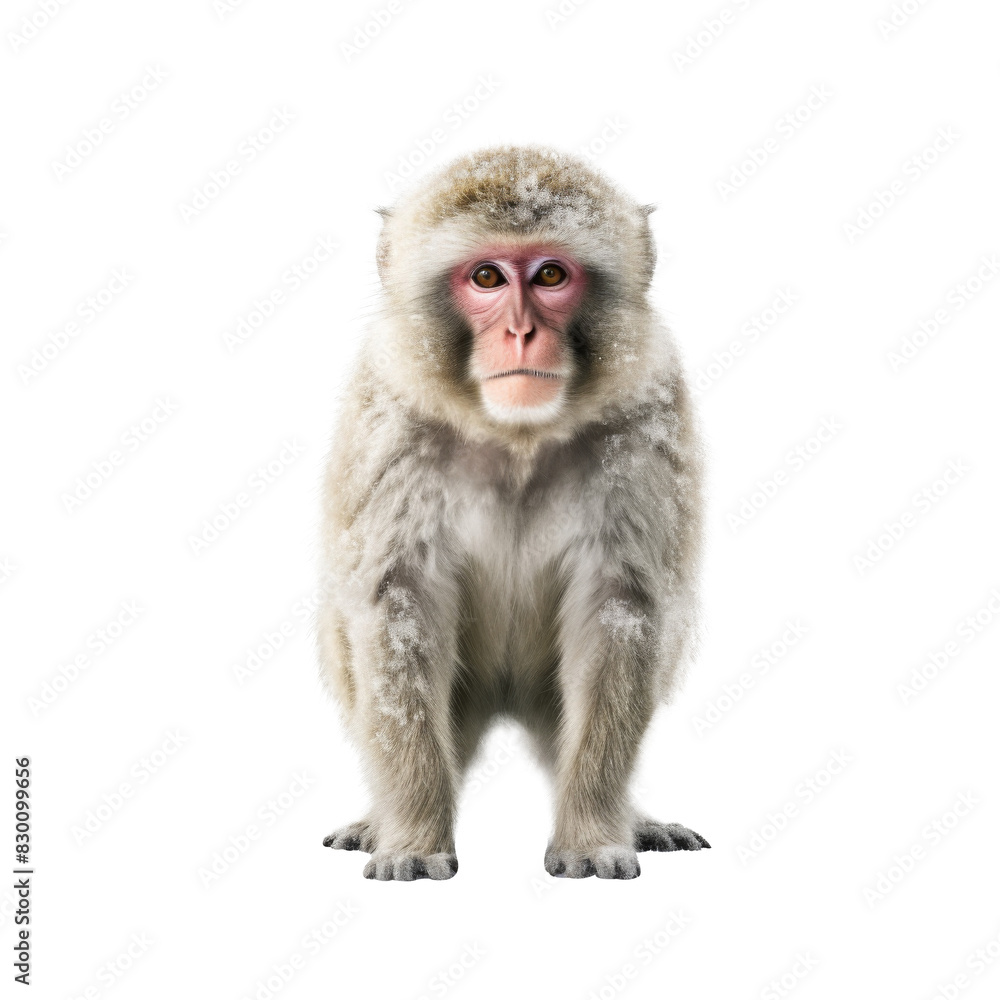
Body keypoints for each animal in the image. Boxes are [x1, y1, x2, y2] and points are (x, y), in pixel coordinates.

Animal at [317, 144, 709, 880]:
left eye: (551, 274)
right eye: (487, 277)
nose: (520, 332)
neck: (514, 438)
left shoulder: (644, 427)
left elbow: (620, 607)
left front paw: (593, 835)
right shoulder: (390, 427)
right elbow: (397, 606)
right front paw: (413, 839)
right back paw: (379, 820)